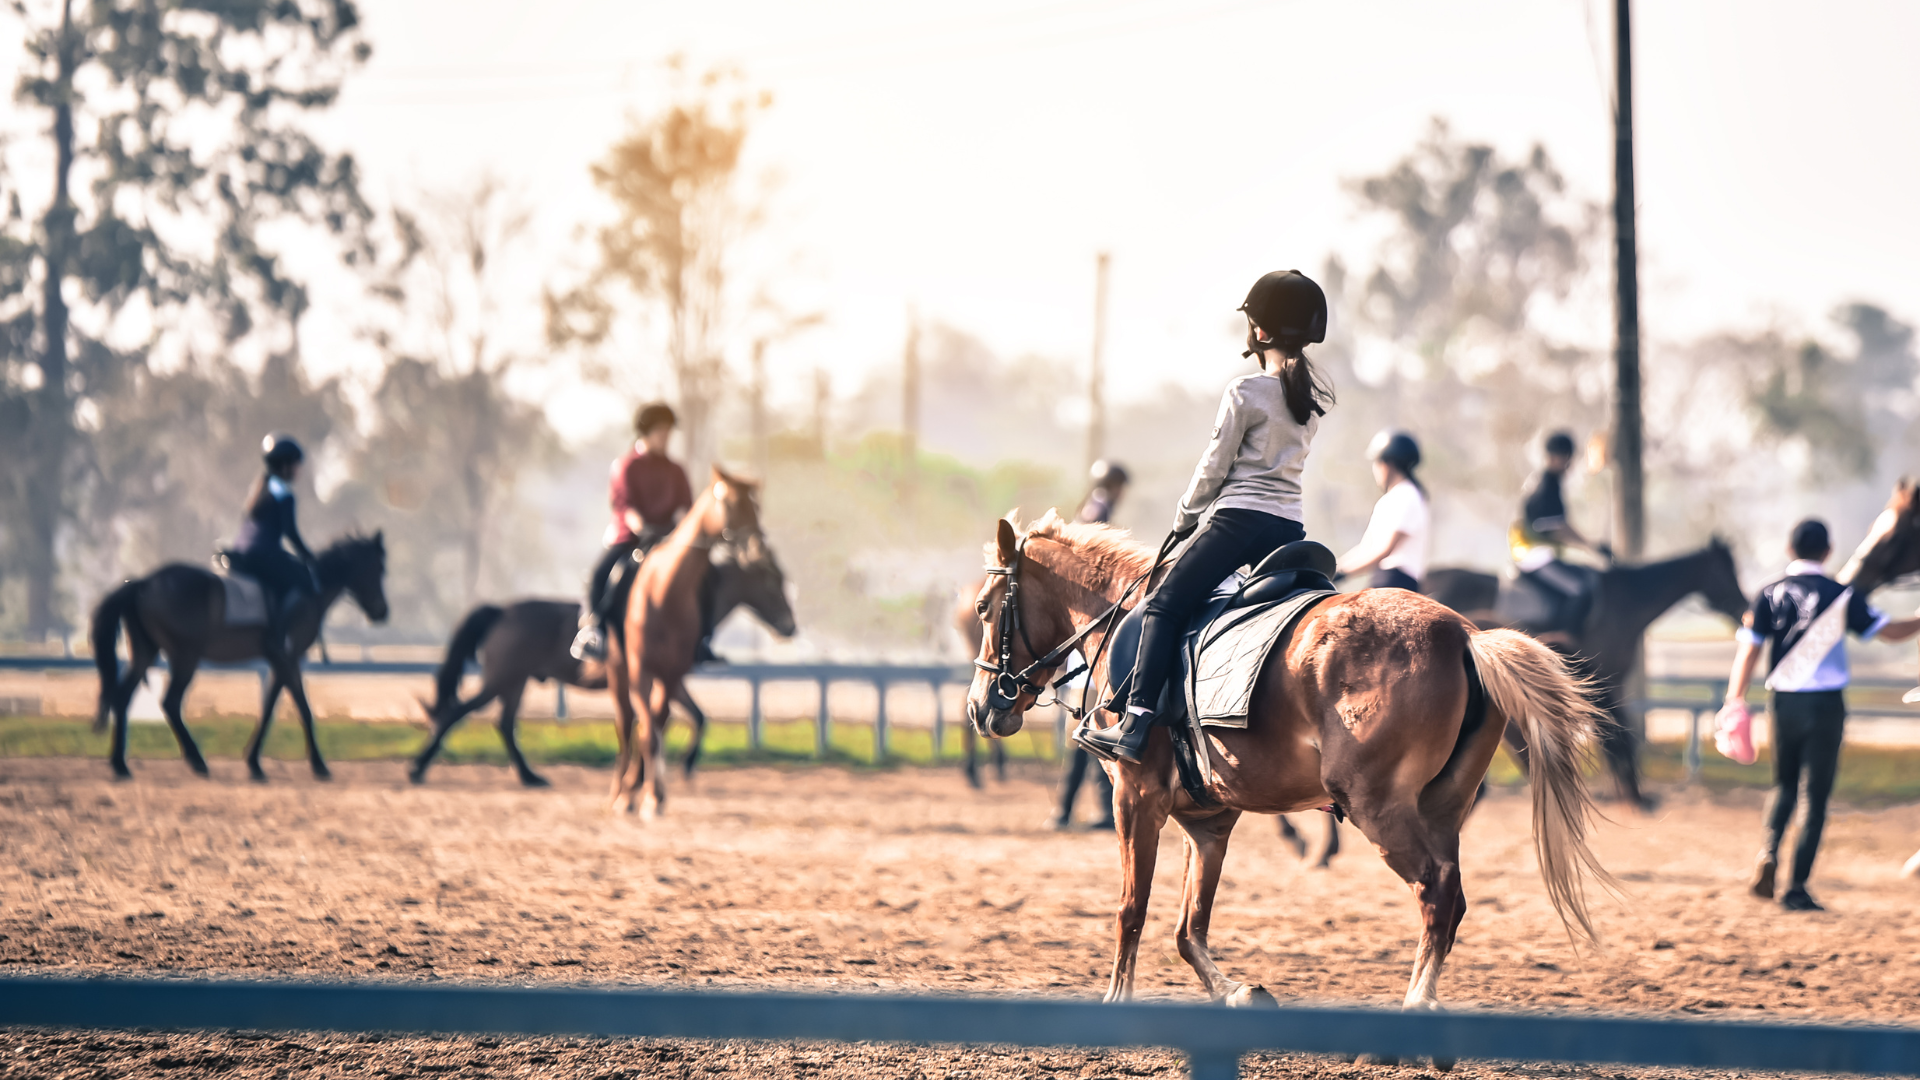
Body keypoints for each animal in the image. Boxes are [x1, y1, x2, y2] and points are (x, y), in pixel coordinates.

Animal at [89, 530, 389, 776]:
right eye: (378, 568)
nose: (382, 612)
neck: (311, 589)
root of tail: (143, 583)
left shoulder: (279, 661)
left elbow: (269, 708)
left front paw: (254, 762)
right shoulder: (290, 658)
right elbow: (303, 708)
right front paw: (318, 764)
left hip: (146, 652)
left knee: (123, 697)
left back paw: (120, 764)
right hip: (185, 657)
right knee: (171, 702)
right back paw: (197, 761)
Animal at [405, 545, 794, 780]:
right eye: (771, 582)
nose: (790, 626)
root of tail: (502, 611)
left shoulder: (669, 681)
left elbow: (694, 717)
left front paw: (669, 767)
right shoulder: (664, 680)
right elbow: (680, 719)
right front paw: (671, 766)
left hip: (515, 681)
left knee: (503, 724)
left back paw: (530, 778)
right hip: (501, 679)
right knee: (458, 713)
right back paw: (418, 768)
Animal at [610, 465, 768, 814]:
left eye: (757, 507)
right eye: (731, 504)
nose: (758, 550)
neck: (664, 592)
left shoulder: (671, 674)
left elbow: (657, 725)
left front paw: (654, 794)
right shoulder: (640, 670)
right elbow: (646, 732)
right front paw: (641, 794)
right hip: (618, 670)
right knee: (625, 725)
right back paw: (620, 791)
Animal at [967, 507, 1612, 1014]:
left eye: (982, 609)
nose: (979, 707)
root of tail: (1464, 634)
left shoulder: (1137, 798)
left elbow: (1132, 909)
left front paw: (1115, 1002)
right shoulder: (1207, 822)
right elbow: (1188, 928)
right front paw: (1237, 991)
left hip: (1378, 807)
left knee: (1435, 893)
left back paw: (1416, 1008)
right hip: (1441, 808)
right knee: (1451, 900)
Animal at [1420, 538, 1751, 807]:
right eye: (1727, 570)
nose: (1745, 610)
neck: (1627, 602)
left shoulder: (1606, 684)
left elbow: (1617, 732)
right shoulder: (1605, 681)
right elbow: (1616, 734)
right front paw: (1625, 790)